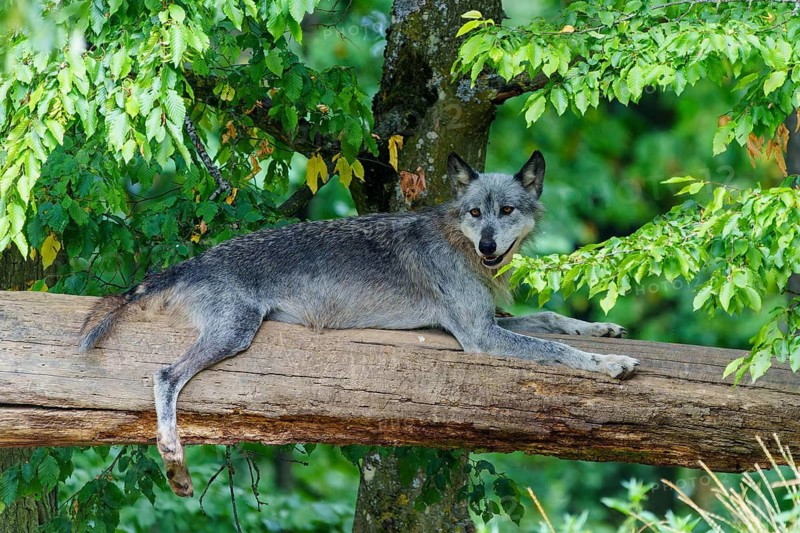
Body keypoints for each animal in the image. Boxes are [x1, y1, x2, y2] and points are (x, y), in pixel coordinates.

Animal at [79, 151, 638, 497]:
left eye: (505, 210)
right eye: (475, 213)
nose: (488, 247)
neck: (459, 243)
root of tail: (193, 261)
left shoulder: (489, 320)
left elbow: (553, 318)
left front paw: (604, 332)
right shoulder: (480, 336)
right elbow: (560, 352)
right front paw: (609, 363)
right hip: (234, 334)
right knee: (164, 376)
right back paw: (174, 460)